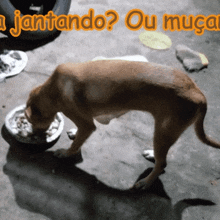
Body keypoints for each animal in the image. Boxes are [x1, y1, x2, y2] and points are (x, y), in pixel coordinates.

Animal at [24, 59, 220, 189]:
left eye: (30, 121)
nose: (34, 135)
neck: (53, 89)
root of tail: (198, 94)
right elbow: (79, 136)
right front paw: (73, 134)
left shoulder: (87, 124)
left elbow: (77, 142)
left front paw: (65, 153)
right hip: (167, 133)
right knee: (162, 158)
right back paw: (152, 154)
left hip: (163, 132)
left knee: (162, 164)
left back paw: (146, 182)